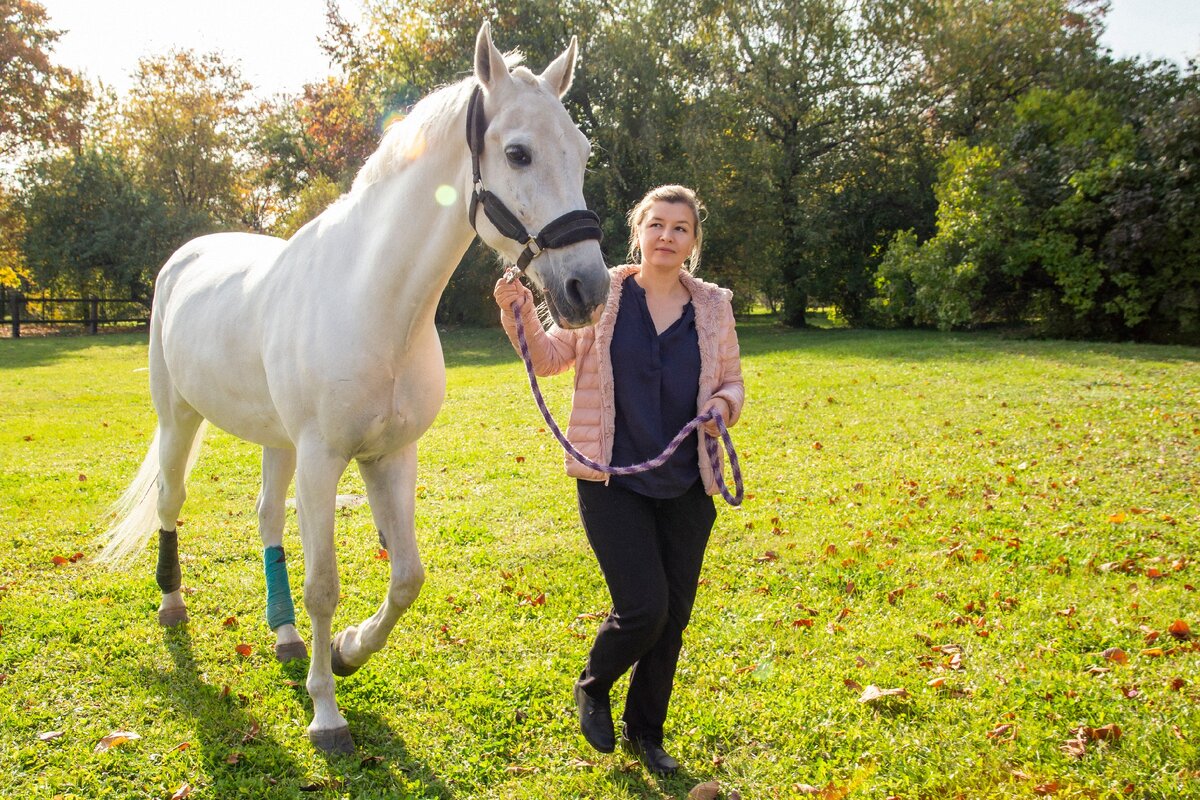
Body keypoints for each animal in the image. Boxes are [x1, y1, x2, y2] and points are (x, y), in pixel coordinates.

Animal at [98, 21, 609, 753]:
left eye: (583, 153)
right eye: (518, 153)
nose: (587, 289)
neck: (375, 303)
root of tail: (184, 258)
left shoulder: (389, 457)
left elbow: (407, 577)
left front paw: (345, 651)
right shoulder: (323, 460)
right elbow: (325, 585)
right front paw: (326, 712)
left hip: (276, 443)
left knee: (265, 515)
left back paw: (284, 635)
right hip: (180, 418)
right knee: (171, 501)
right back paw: (172, 604)